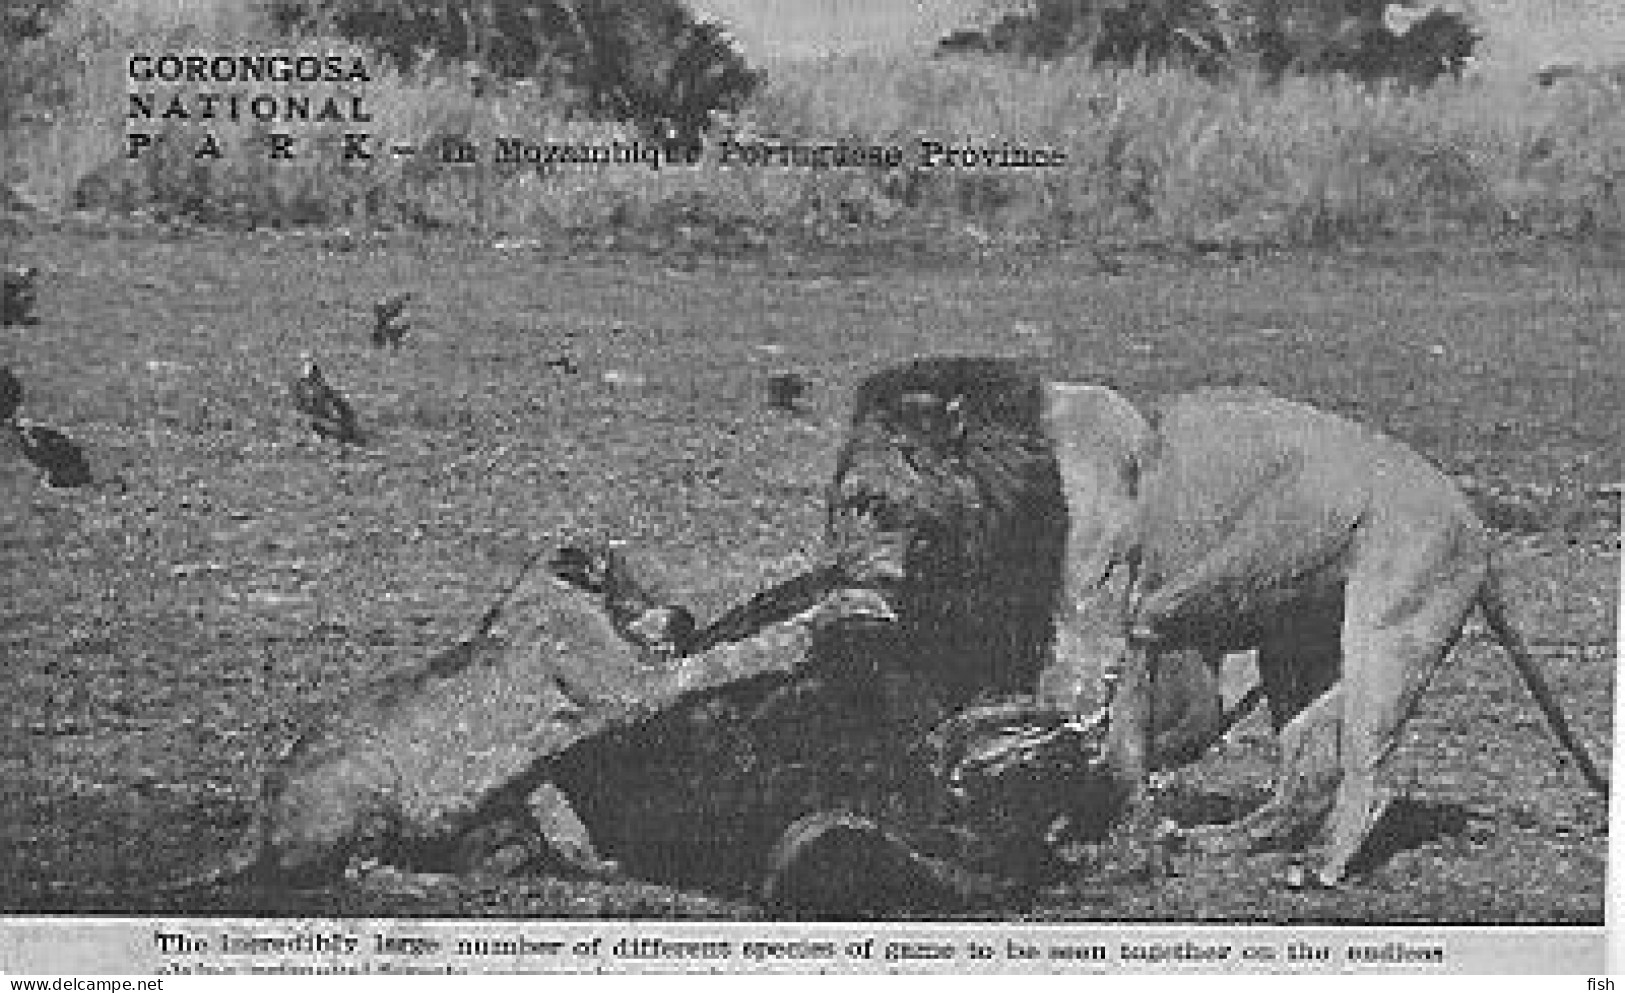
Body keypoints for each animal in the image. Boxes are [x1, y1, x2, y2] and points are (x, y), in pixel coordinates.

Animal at [838, 357, 1612, 890]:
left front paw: (1093, 831)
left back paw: (1321, 868)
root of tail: (1479, 529)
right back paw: (1226, 840)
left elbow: (1089, 721)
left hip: (1392, 633)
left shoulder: (1094, 616)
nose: (835, 566)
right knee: (1303, 769)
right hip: (1299, 647)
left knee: (1370, 772)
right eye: (845, 503)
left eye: (869, 504)